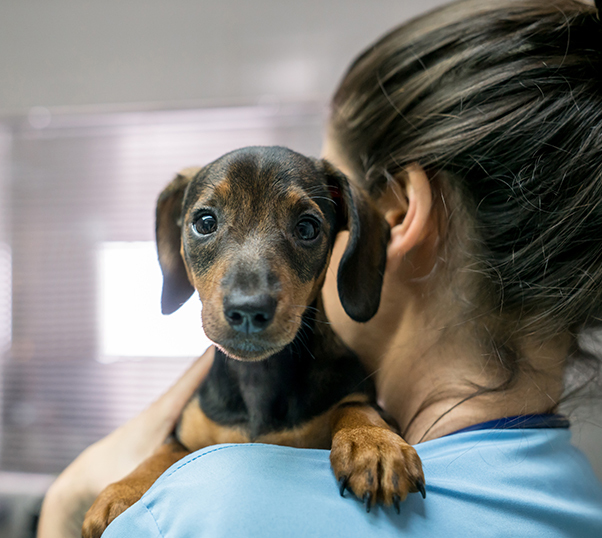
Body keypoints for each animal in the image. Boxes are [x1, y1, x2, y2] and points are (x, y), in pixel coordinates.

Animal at [82, 147, 424, 536]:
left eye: (307, 228)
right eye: (205, 222)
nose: (248, 310)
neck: (257, 379)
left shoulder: (357, 394)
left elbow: (357, 407)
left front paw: (375, 445)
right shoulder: (183, 433)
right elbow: (161, 453)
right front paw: (122, 490)